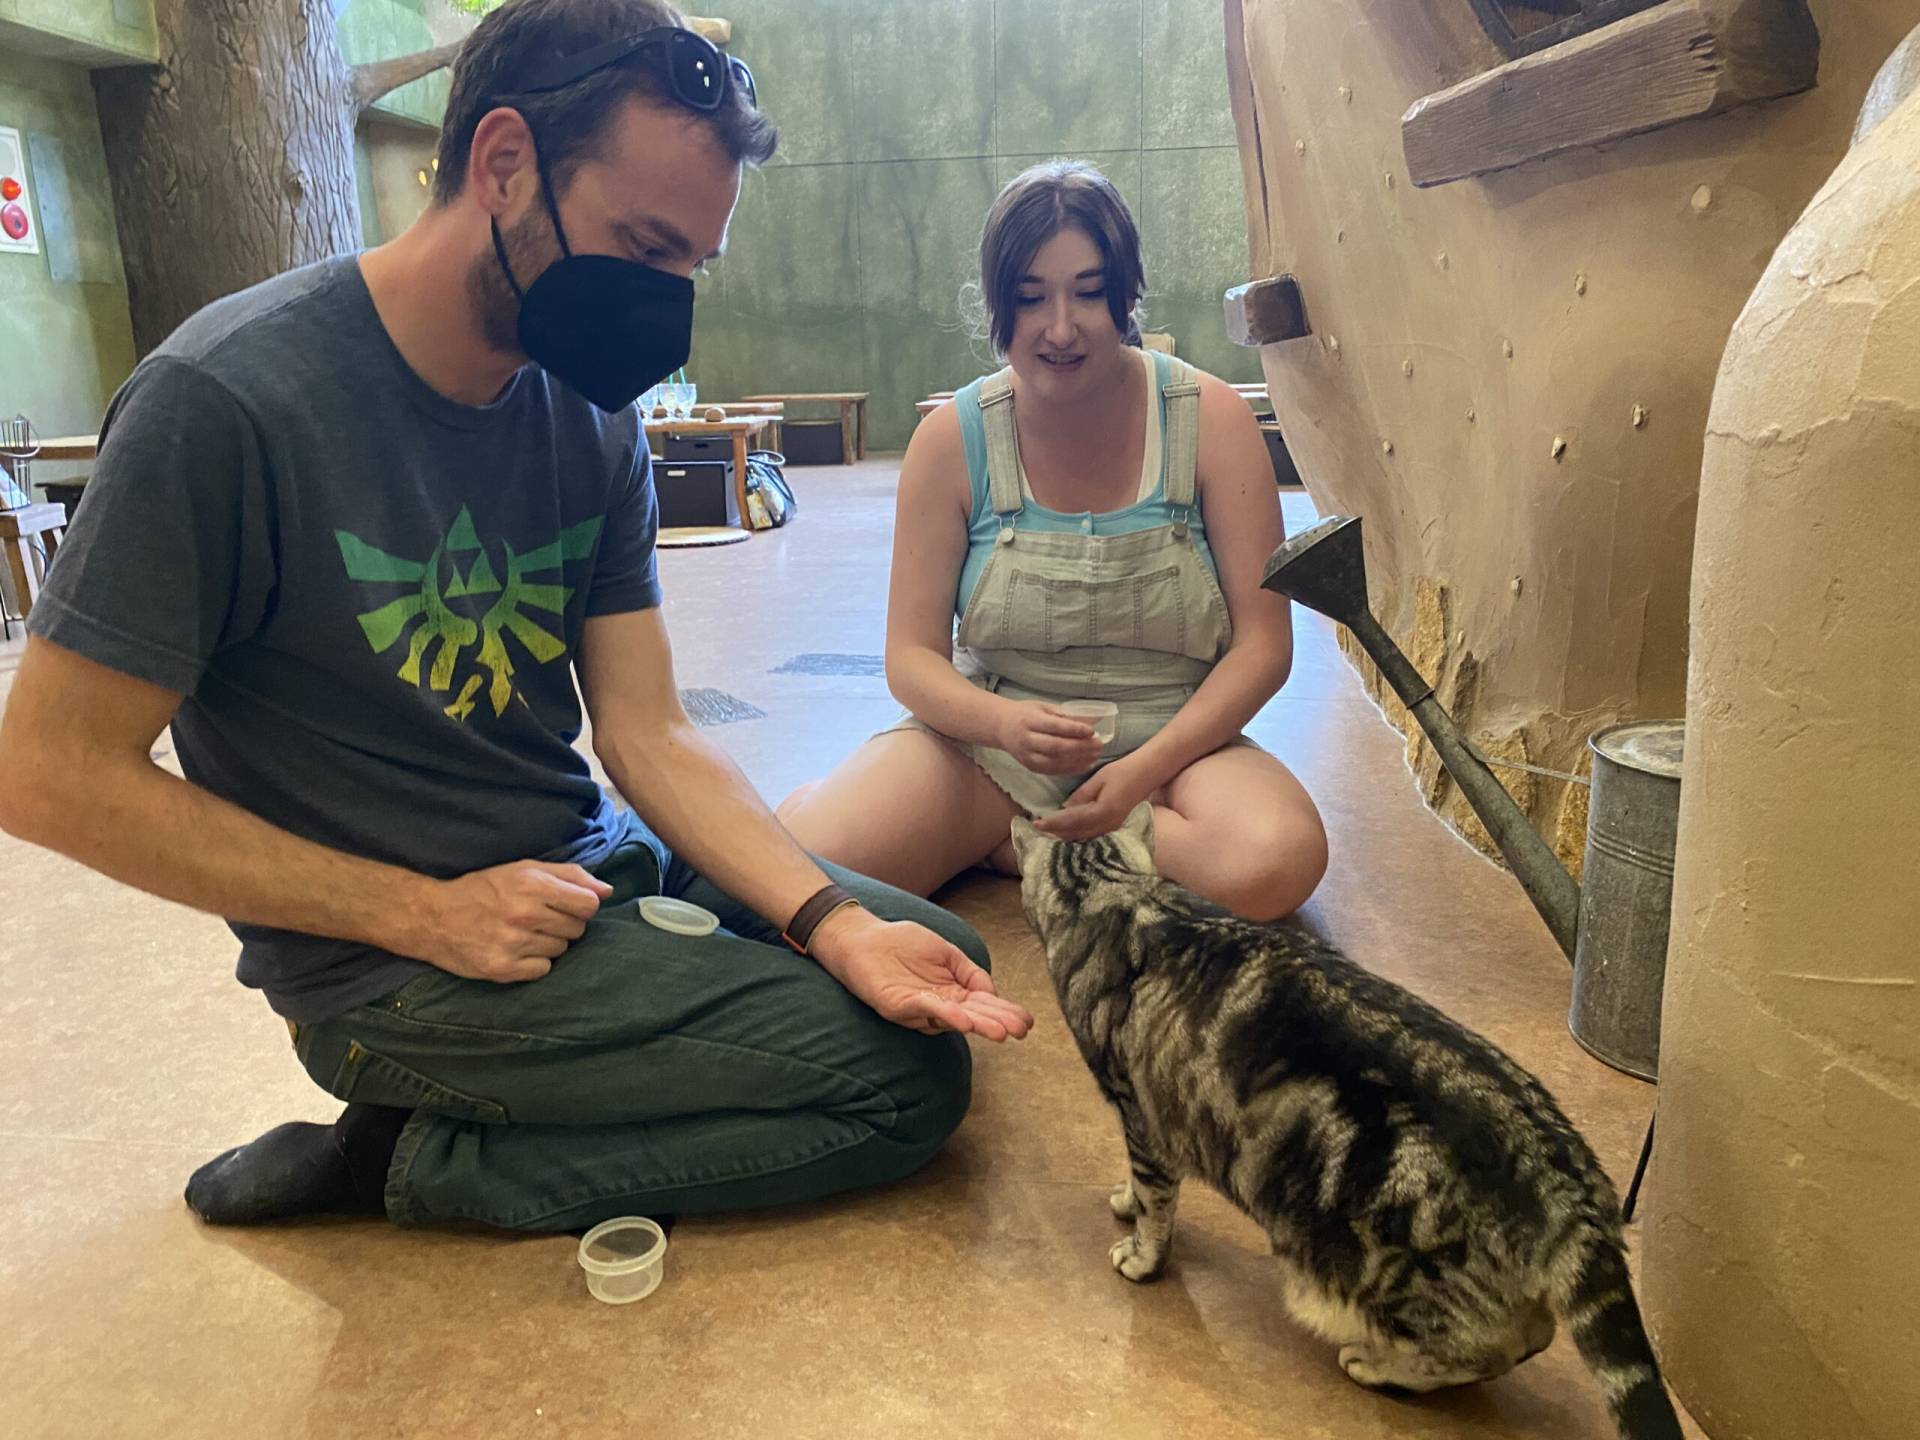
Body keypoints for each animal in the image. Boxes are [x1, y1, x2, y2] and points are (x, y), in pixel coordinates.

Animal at [1009, 803, 1682, 1440]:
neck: (1113, 891)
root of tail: (1570, 1184)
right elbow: (1140, 1187)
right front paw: (1126, 1200)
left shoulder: (1140, 1114)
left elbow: (1155, 1203)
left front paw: (1142, 1253)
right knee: (1530, 1334)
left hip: (1380, 1265)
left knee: (1490, 1346)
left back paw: (1378, 1364)